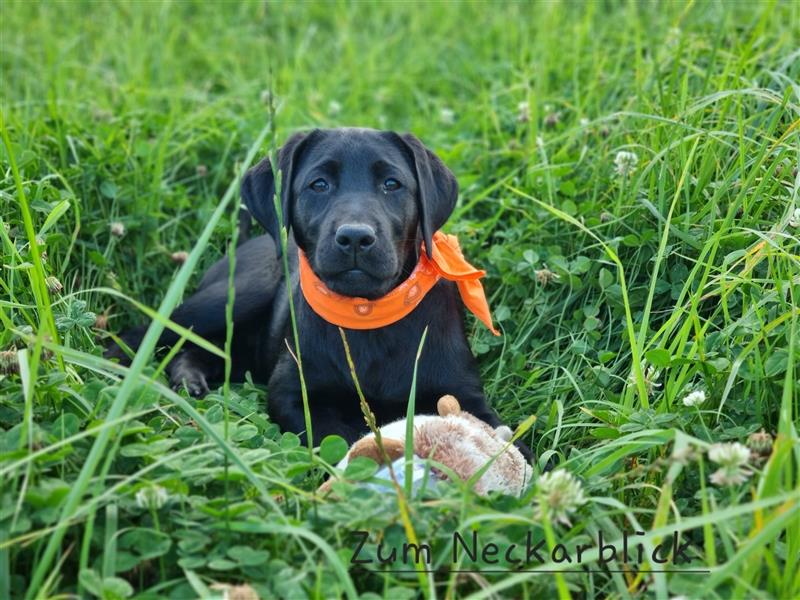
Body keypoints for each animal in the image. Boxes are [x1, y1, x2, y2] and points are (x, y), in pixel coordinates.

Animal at [108, 126, 532, 454]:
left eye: (391, 184)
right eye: (319, 184)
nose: (356, 237)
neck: (368, 315)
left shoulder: (465, 394)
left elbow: (512, 444)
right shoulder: (293, 395)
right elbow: (339, 438)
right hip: (237, 296)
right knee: (140, 334)